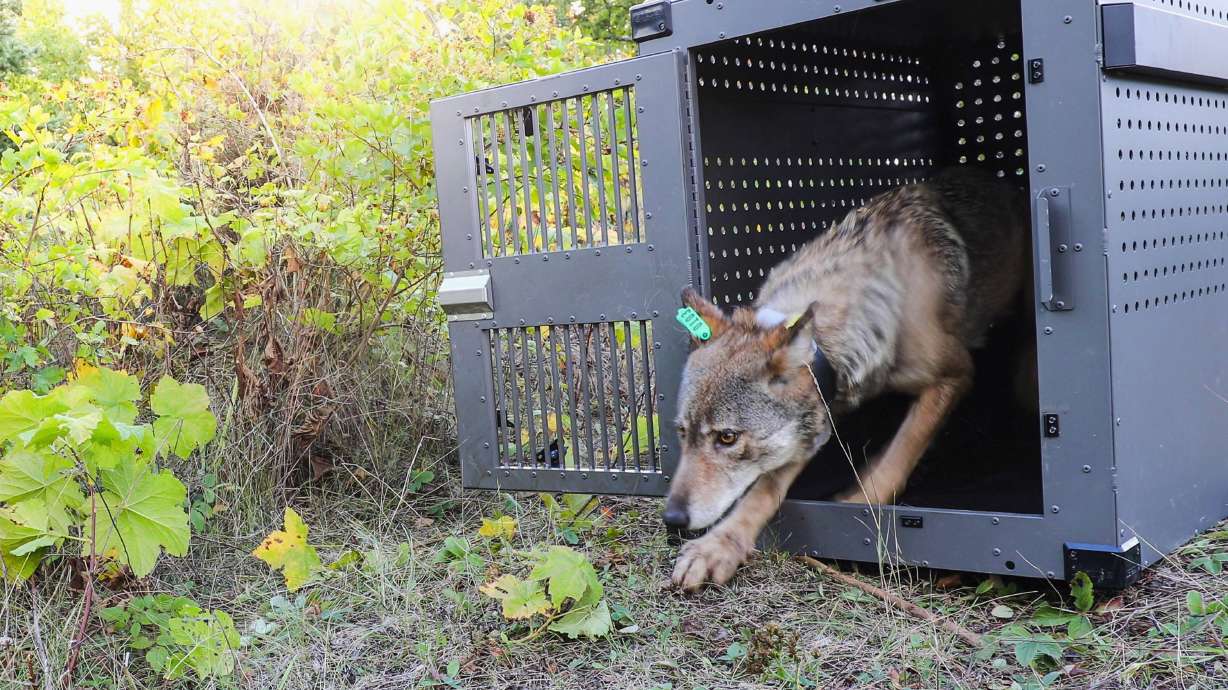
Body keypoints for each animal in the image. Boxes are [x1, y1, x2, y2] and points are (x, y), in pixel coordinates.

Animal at [665, 167, 1029, 591]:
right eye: (682, 433)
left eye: (727, 438)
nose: (671, 519)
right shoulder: (817, 415)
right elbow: (763, 489)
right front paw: (718, 547)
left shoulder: (954, 373)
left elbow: (900, 452)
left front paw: (858, 504)